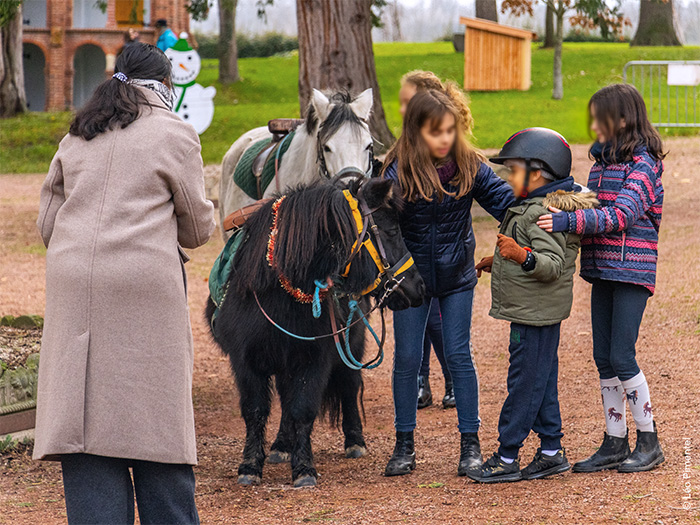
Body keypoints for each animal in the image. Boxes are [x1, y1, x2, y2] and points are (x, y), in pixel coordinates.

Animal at [205, 177, 424, 488]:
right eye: (392, 231)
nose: (419, 287)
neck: (279, 295)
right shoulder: (245, 361)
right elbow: (255, 410)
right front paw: (250, 466)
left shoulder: (314, 358)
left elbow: (303, 409)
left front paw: (304, 469)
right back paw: (281, 446)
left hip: (351, 345)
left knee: (349, 385)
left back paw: (354, 442)